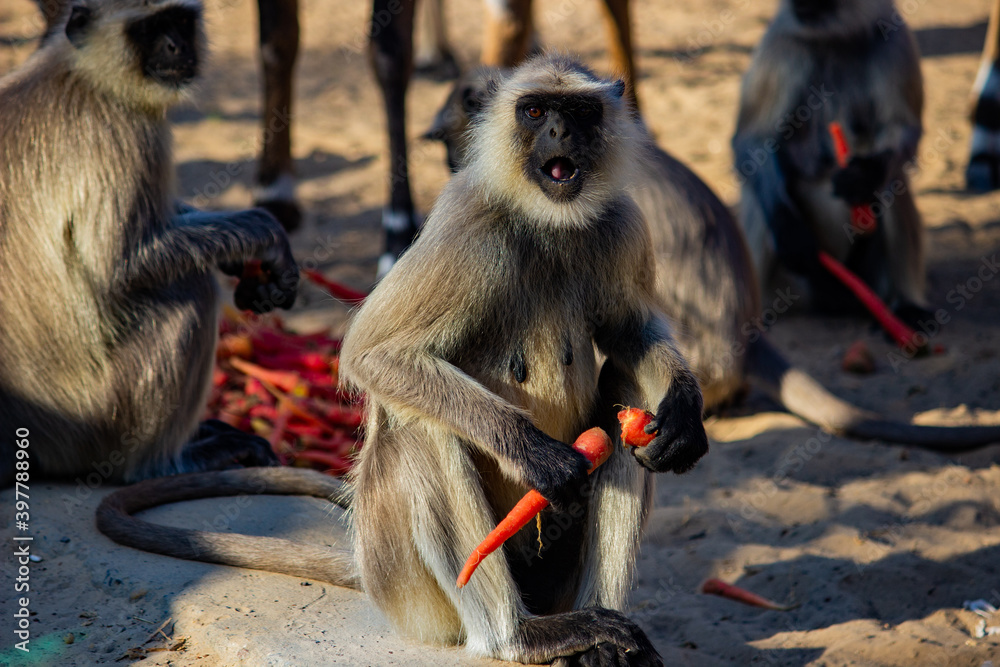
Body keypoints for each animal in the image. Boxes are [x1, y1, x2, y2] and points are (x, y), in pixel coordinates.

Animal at [0, 0, 299, 488]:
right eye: (149, 28)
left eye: (179, 20)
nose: (176, 46)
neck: (83, 72)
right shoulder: (125, 131)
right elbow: (121, 264)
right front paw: (265, 232)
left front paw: (250, 263)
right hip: (91, 420)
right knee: (192, 289)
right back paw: (162, 464)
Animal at [732, 0, 927, 328]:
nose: (798, 5)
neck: (837, 37)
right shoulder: (782, 45)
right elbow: (752, 139)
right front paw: (789, 232)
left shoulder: (893, 41)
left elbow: (902, 129)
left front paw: (864, 175)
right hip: (796, 284)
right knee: (757, 190)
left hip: (872, 280)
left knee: (892, 178)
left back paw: (908, 306)